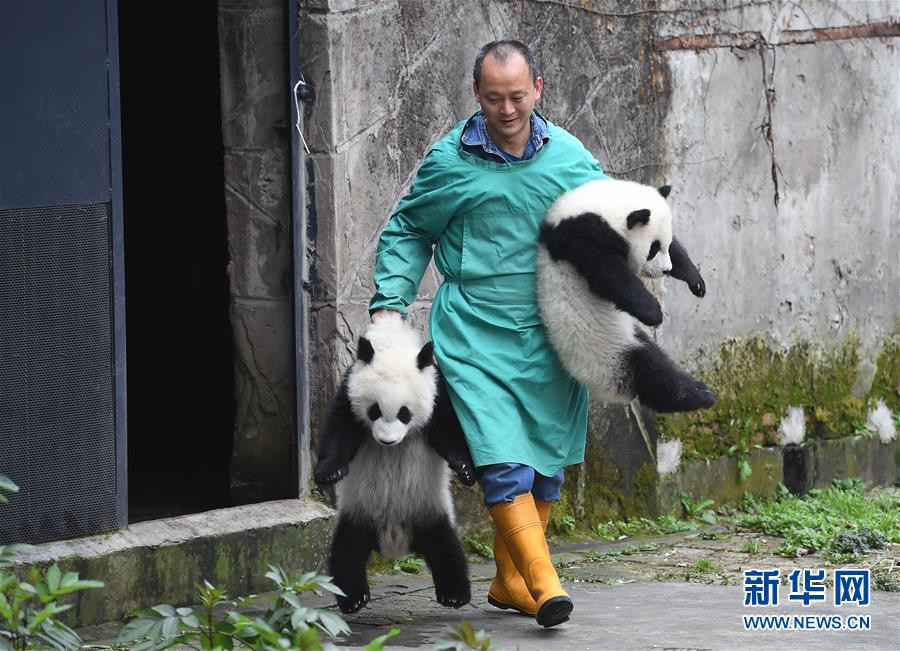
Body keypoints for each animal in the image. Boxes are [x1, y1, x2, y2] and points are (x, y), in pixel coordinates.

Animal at [313, 312, 476, 614]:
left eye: (404, 413)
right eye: (374, 410)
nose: (387, 441)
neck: (392, 341)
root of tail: (394, 541)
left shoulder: (436, 392)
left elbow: (448, 433)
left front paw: (464, 470)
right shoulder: (349, 389)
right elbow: (339, 432)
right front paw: (330, 472)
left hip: (430, 510)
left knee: (447, 549)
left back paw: (455, 594)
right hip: (358, 512)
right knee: (346, 552)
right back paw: (353, 598)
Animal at [536, 179, 717, 413]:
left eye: (665, 244)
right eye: (653, 249)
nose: (666, 270)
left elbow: (677, 252)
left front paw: (695, 281)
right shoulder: (580, 237)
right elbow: (610, 275)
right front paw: (654, 312)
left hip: (627, 338)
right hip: (608, 352)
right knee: (653, 374)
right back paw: (699, 395)